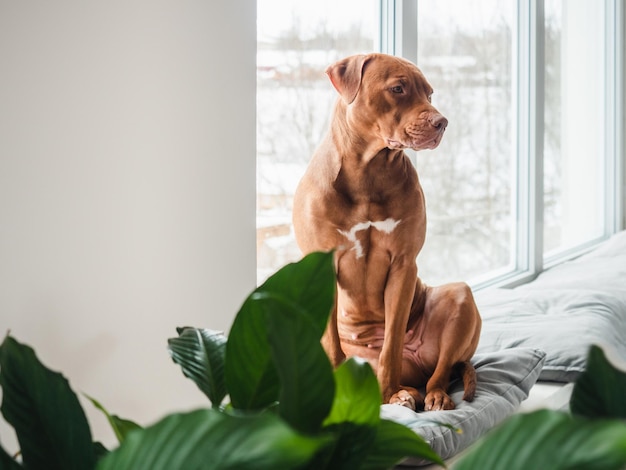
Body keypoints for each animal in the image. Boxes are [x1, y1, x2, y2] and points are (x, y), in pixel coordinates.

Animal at [290, 53, 480, 410]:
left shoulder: (403, 265)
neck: (368, 169)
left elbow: (390, 343)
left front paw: (392, 391)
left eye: (429, 93)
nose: (442, 122)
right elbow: (332, 346)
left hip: (458, 298)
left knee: (441, 369)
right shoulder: (320, 267)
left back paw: (424, 394)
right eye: (398, 89)